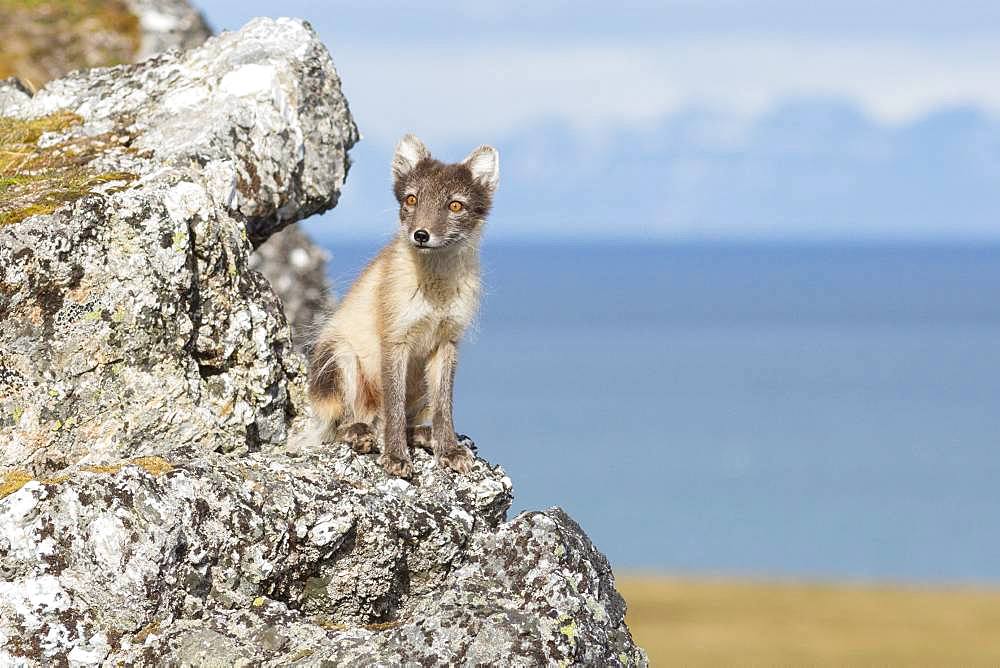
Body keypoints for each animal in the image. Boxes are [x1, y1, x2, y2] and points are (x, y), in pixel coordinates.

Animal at [306, 133, 498, 478]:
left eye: (455, 205)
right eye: (411, 200)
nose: (420, 235)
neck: (435, 293)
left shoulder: (447, 342)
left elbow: (444, 408)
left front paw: (448, 449)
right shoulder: (396, 340)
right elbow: (393, 407)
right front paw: (395, 456)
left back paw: (422, 435)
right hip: (340, 356)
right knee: (344, 425)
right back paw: (360, 434)